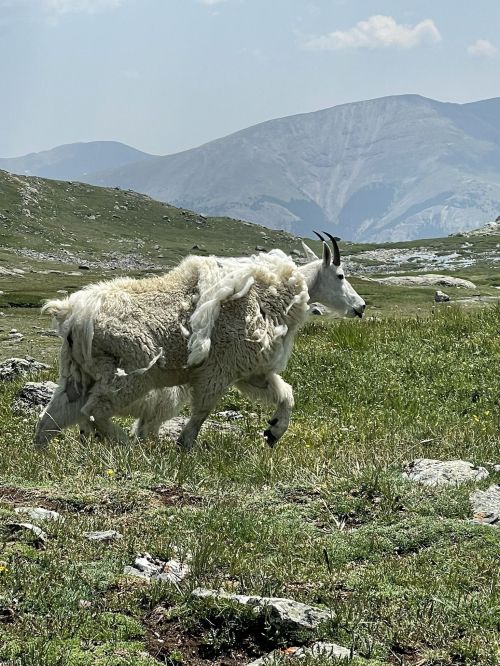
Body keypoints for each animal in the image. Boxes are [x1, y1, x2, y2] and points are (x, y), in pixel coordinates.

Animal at [35, 234, 365, 449]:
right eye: (340, 275)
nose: (360, 307)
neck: (276, 292)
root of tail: (74, 315)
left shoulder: (251, 372)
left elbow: (286, 394)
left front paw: (273, 432)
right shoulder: (219, 370)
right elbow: (203, 410)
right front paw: (184, 444)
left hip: (78, 374)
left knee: (51, 418)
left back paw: (43, 455)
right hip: (129, 373)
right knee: (95, 411)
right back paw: (127, 445)